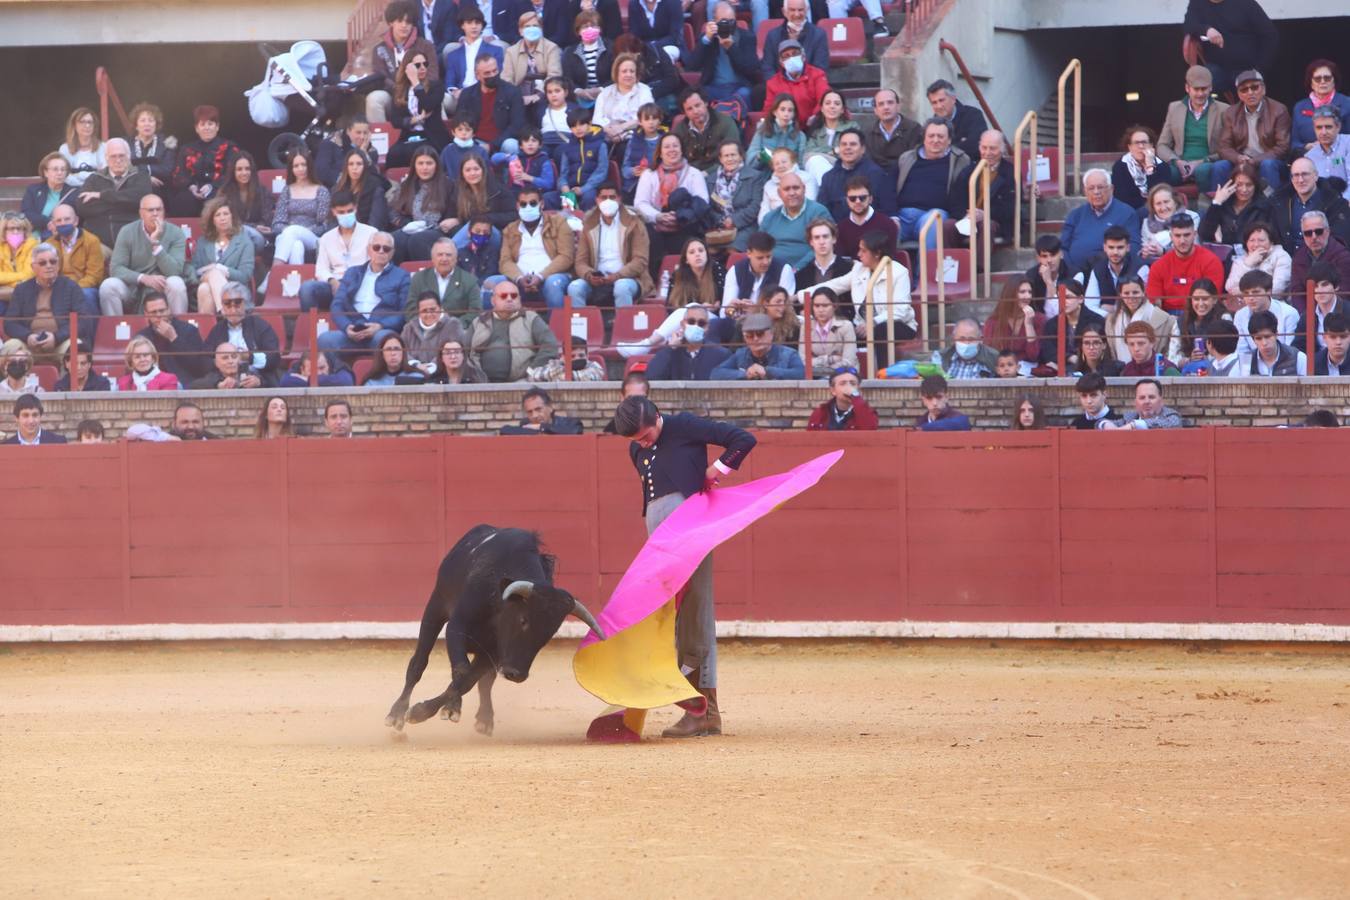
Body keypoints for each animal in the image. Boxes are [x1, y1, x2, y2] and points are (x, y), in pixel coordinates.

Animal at [386, 523, 607, 734]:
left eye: (550, 633)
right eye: (523, 620)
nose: (516, 674)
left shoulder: (493, 652)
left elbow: (469, 680)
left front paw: (433, 710)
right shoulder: (457, 626)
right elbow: (462, 670)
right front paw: (435, 710)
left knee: (484, 681)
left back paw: (484, 720)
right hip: (435, 607)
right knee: (418, 663)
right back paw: (396, 715)